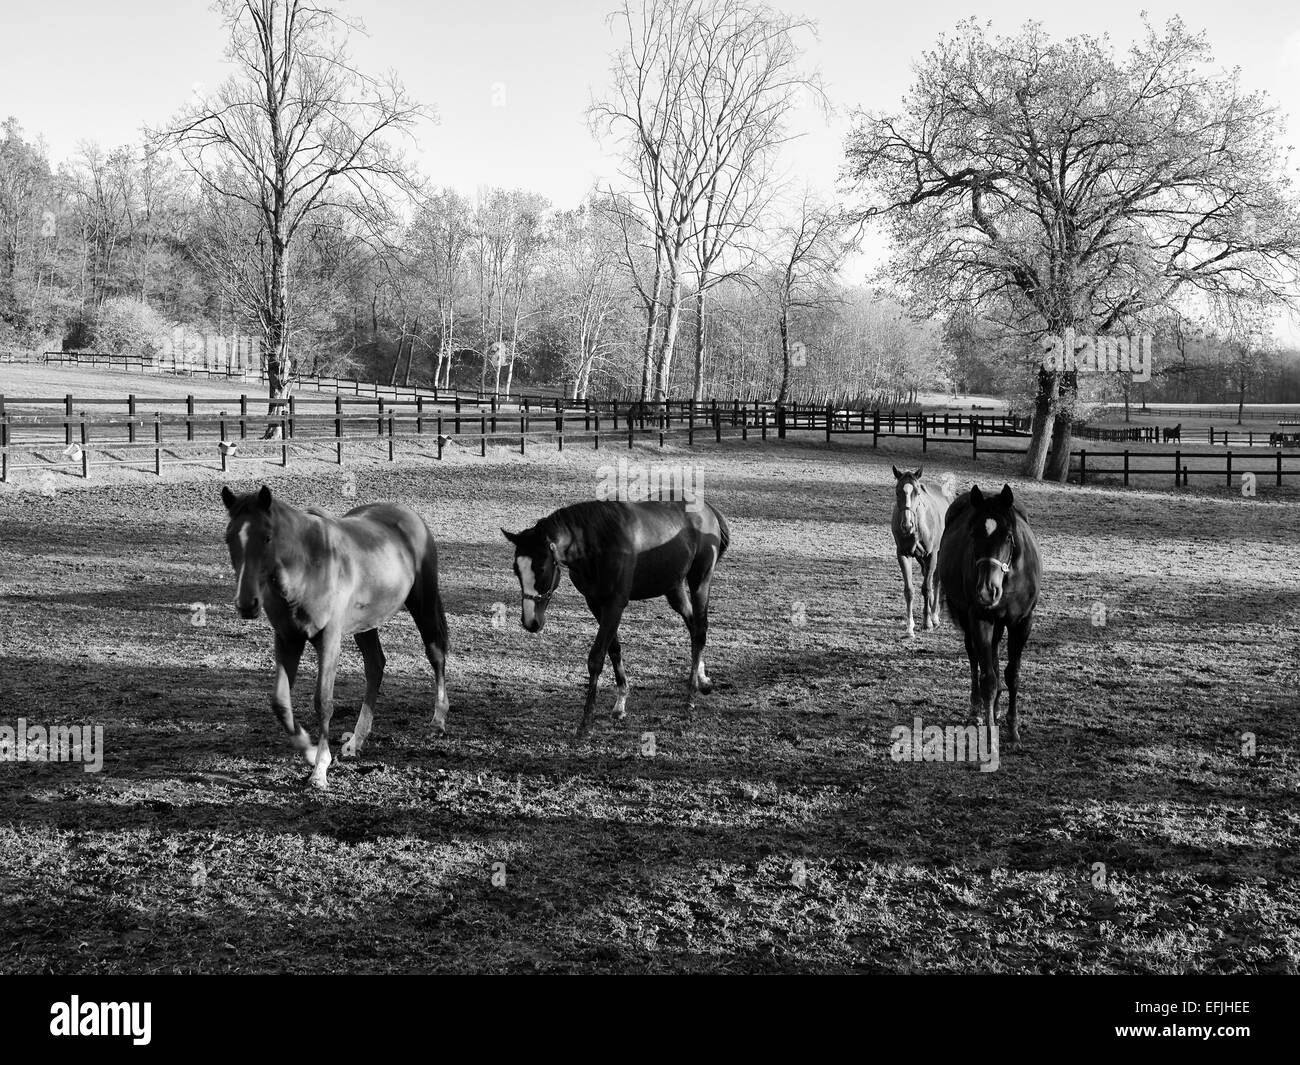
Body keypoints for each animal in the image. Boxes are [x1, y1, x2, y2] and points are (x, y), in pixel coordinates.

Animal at [221, 485, 450, 789]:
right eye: (229, 538)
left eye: (267, 537)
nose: (246, 604)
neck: (308, 567)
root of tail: (406, 513)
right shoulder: (287, 639)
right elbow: (280, 702)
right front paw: (309, 751)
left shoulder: (329, 639)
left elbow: (324, 702)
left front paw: (320, 768)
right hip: (365, 624)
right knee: (375, 665)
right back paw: (357, 740)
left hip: (423, 603)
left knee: (435, 653)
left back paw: (437, 720)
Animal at [502, 499, 730, 738]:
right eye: (516, 569)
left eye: (541, 568)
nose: (531, 621)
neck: (598, 543)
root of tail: (707, 509)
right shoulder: (595, 603)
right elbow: (613, 649)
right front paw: (620, 702)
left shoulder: (615, 604)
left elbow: (596, 658)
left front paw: (586, 721)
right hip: (673, 588)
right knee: (693, 626)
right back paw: (702, 679)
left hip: (699, 582)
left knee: (700, 630)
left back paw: (690, 695)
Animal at [890, 465, 953, 637]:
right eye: (897, 491)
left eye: (917, 492)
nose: (907, 525)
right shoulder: (903, 555)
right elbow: (909, 590)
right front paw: (909, 627)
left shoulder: (931, 556)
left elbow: (927, 588)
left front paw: (927, 623)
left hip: (938, 554)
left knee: (935, 580)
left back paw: (934, 616)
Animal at [937, 484, 1042, 748]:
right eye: (973, 534)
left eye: (1008, 536)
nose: (986, 590)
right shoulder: (980, 619)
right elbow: (988, 679)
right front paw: (991, 735)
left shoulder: (1022, 623)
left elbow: (1012, 675)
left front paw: (1013, 731)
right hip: (969, 619)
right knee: (975, 656)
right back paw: (978, 711)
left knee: (993, 654)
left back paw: (995, 709)